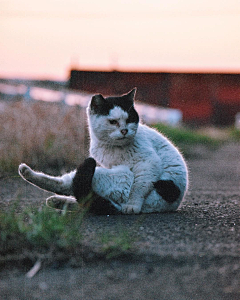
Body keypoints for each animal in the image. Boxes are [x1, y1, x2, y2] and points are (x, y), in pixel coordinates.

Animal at [18, 88, 188, 214]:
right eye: (113, 122)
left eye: (129, 120)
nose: (125, 130)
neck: (109, 147)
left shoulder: (148, 163)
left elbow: (138, 188)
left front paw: (132, 206)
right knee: (77, 192)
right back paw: (54, 198)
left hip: (121, 175)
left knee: (73, 188)